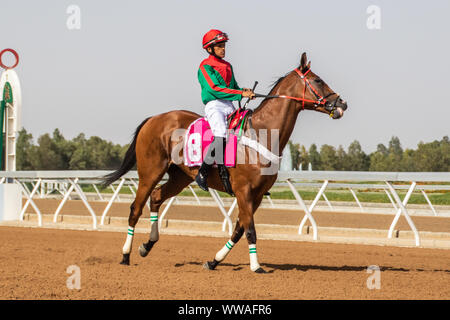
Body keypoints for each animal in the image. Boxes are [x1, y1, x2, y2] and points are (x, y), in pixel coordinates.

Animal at [103, 52, 348, 272]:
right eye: (318, 80)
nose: (342, 103)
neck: (261, 132)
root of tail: (153, 119)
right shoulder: (243, 190)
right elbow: (250, 229)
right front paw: (256, 266)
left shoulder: (258, 194)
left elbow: (239, 229)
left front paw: (214, 261)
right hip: (150, 171)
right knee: (136, 208)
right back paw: (125, 255)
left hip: (180, 176)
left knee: (155, 198)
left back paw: (147, 245)